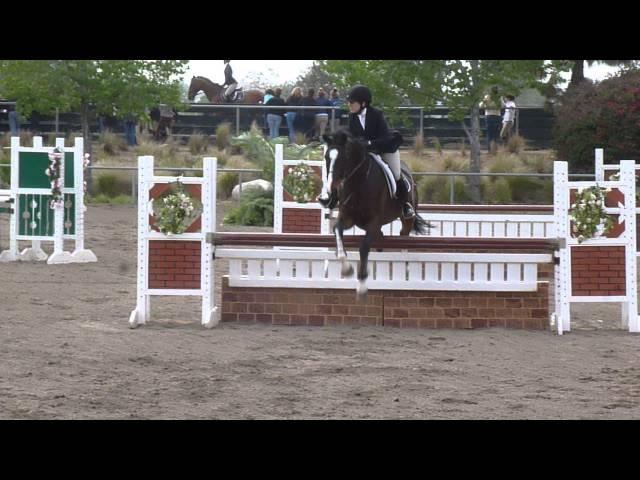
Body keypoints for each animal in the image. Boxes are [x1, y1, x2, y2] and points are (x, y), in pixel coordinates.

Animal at [320, 129, 430, 298]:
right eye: (327, 157)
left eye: (343, 158)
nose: (330, 192)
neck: (358, 183)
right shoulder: (347, 218)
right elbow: (337, 229)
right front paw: (346, 268)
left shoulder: (373, 222)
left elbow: (364, 248)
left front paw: (361, 285)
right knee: (382, 237)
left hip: (407, 217)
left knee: (404, 234)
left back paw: (405, 265)